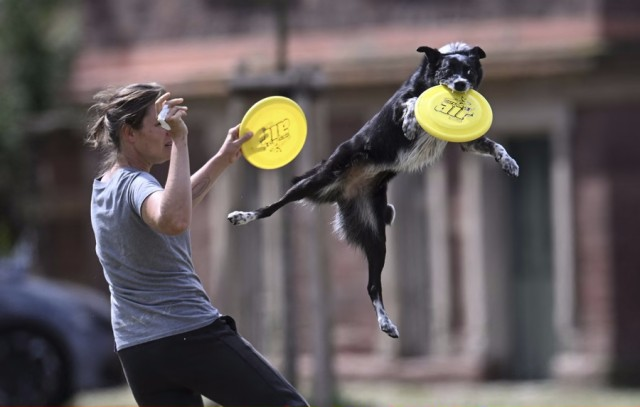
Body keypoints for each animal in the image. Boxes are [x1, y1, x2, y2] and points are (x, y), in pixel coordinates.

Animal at [230, 43, 520, 340]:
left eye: (468, 71)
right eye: (447, 70)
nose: (461, 84)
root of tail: (345, 191)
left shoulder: (468, 143)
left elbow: (494, 146)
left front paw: (509, 162)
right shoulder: (399, 105)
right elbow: (411, 103)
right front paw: (410, 123)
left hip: (376, 237)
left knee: (372, 286)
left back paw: (386, 323)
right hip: (317, 180)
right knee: (273, 207)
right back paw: (243, 215)